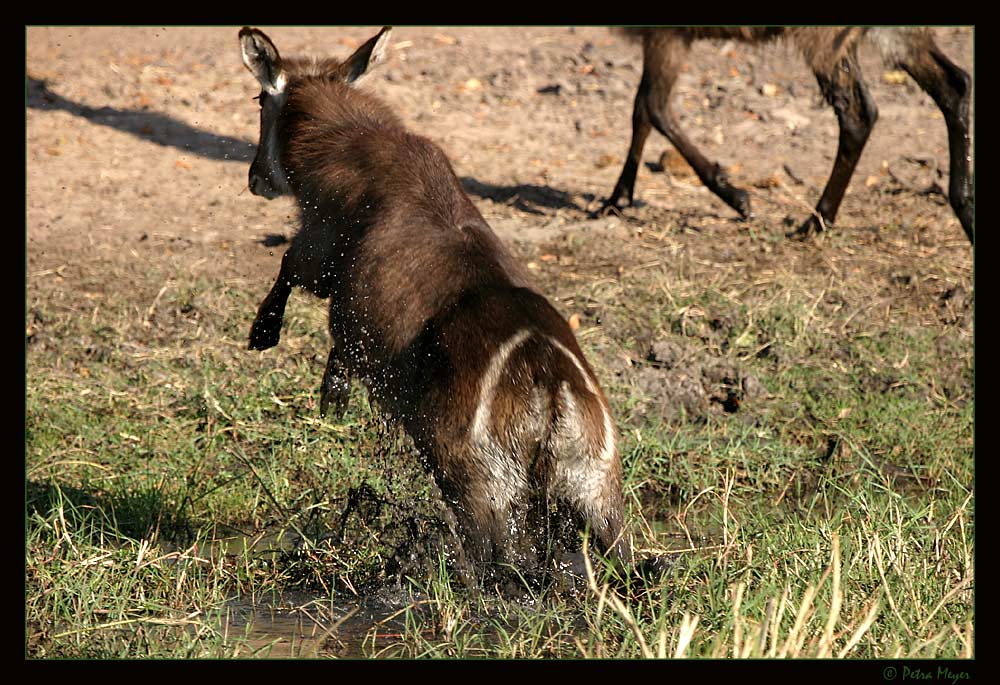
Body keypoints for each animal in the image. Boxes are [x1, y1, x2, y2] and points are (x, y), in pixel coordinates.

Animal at [238, 25, 636, 584]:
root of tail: (551, 383)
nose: (254, 177)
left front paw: (273, 341)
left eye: (259, 100)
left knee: (497, 561)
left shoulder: (323, 249)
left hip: (478, 482)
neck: (350, 140)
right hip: (597, 491)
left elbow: (293, 267)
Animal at [604, 27, 972, 246]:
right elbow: (642, 108)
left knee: (858, 114)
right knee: (954, 84)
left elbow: (653, 107)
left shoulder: (666, 32)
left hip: (824, 38)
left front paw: (737, 197)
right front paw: (617, 198)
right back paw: (963, 204)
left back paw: (815, 222)